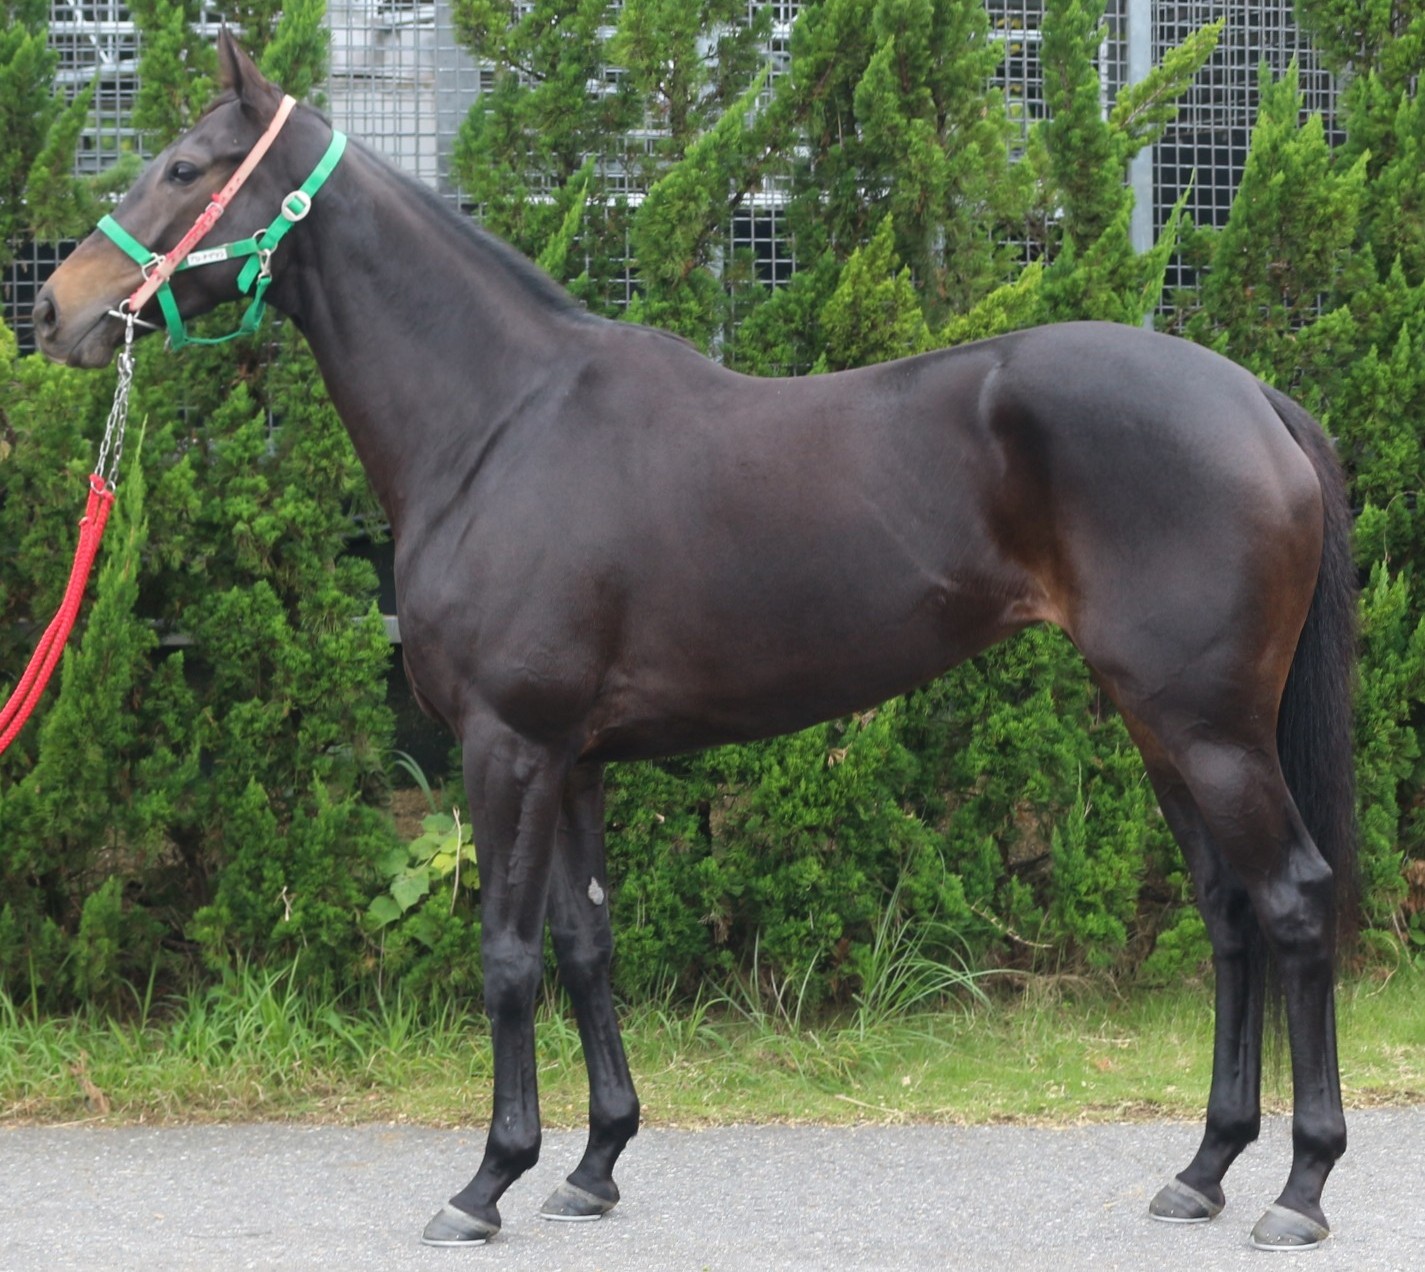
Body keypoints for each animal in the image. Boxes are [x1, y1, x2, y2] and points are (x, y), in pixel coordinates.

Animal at [34, 33, 1357, 1253]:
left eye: (184, 165)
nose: (54, 308)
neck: (500, 423)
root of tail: (1256, 400)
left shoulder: (506, 746)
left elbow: (506, 955)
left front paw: (486, 1182)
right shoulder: (572, 760)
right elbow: (585, 944)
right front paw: (593, 1164)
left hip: (1209, 727)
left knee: (1293, 903)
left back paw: (1299, 1188)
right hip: (1161, 725)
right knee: (1228, 912)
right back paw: (1203, 1167)